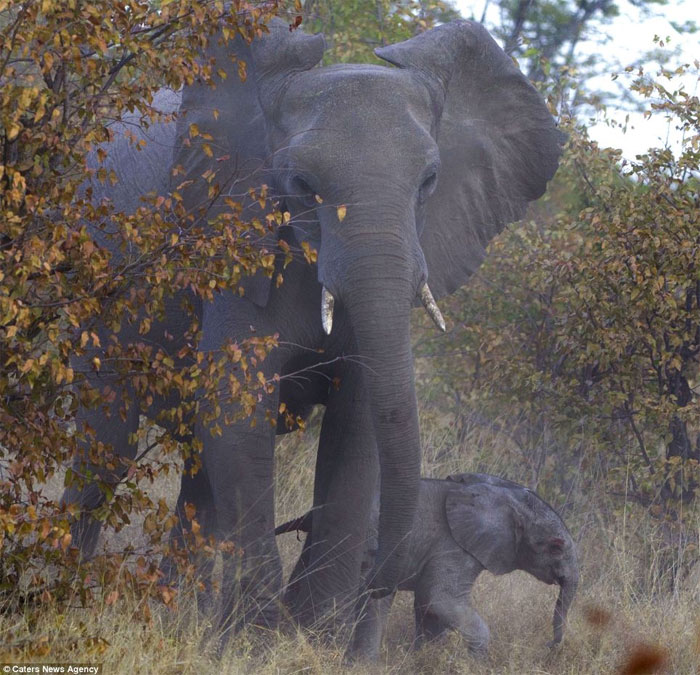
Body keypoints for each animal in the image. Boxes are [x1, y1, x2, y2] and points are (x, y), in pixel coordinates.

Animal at [63, 17, 568, 640]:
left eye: (429, 181)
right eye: (301, 183)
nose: (382, 583)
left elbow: (359, 429)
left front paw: (310, 632)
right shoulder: (239, 248)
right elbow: (239, 413)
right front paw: (258, 634)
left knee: (198, 475)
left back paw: (180, 614)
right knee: (107, 447)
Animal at [276, 476, 576, 660]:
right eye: (556, 546)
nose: (549, 646)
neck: (500, 494)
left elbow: (429, 607)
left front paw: (425, 660)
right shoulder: (454, 546)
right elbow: (438, 598)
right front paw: (476, 663)